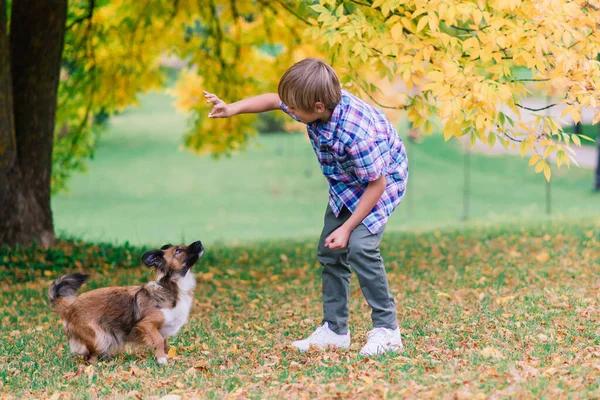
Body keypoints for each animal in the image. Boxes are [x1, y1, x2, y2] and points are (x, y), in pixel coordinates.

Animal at [49, 239, 204, 364]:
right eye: (178, 250)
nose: (199, 242)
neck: (172, 288)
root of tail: (70, 307)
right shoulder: (145, 324)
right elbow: (159, 341)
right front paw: (161, 359)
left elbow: (164, 343)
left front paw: (165, 356)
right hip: (98, 337)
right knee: (90, 357)